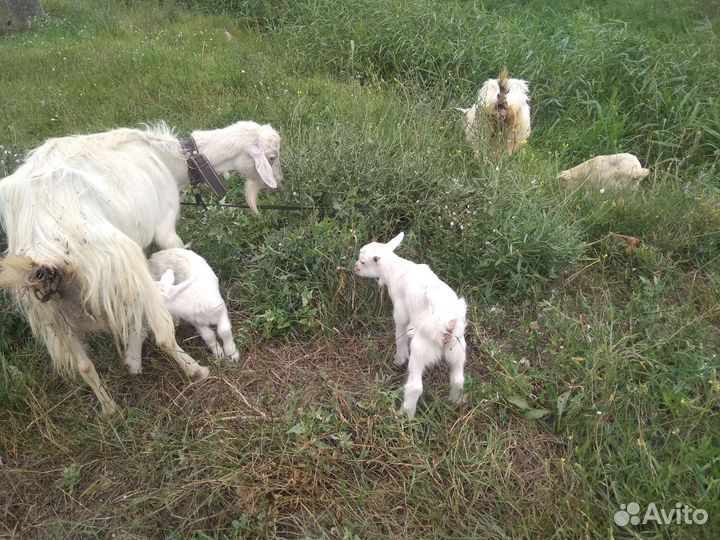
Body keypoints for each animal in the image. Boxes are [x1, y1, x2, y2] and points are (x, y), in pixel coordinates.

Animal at [0, 120, 283, 414]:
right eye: (272, 157)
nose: (281, 183)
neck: (171, 157)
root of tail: (41, 244)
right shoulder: (165, 226)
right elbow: (178, 253)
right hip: (123, 263)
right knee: (163, 334)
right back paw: (195, 370)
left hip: (51, 314)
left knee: (84, 365)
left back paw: (111, 409)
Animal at [354, 232, 467, 419]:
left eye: (363, 261)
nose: (355, 268)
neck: (397, 268)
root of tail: (448, 327)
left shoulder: (401, 311)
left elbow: (400, 335)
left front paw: (399, 358)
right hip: (458, 350)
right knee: (458, 379)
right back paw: (455, 401)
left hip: (421, 349)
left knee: (415, 386)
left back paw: (404, 414)